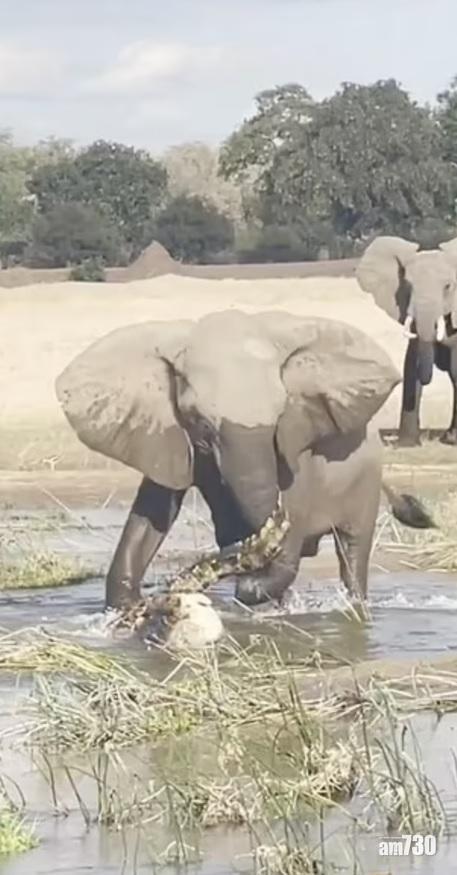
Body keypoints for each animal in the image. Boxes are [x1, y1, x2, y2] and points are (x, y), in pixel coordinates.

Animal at [55, 309, 432, 610]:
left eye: (280, 415)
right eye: (201, 424)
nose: (231, 549)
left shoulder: (297, 449)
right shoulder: (167, 434)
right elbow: (155, 510)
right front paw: (124, 607)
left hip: (365, 482)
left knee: (352, 552)